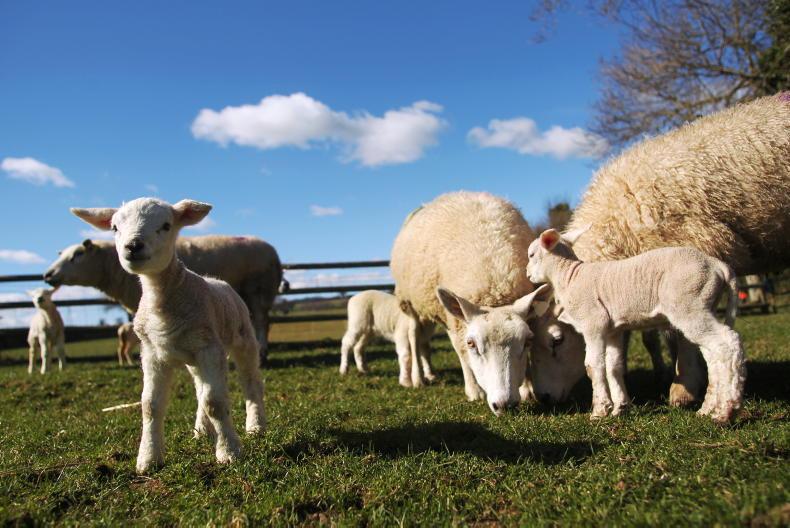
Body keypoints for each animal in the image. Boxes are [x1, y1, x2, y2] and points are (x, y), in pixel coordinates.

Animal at [44, 235, 282, 362]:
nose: (47, 275)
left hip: (259, 289)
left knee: (261, 322)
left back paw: (262, 352)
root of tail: (272, 251)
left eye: (77, 255)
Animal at [71, 198, 266, 474]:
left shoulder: (209, 348)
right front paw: (148, 458)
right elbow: (150, 406)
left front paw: (229, 452)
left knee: (251, 381)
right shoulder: (152, 353)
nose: (133, 246)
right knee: (200, 389)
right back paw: (202, 430)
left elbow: (215, 403)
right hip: (194, 358)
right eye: (115, 227)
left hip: (243, 339)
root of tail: (217, 280)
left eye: (166, 225)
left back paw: (256, 425)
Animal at [390, 191, 579, 415]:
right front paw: (474, 391)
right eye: (472, 343)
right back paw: (417, 378)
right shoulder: (457, 324)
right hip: (409, 301)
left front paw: (526, 389)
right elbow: (461, 352)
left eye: (527, 341)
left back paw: (429, 373)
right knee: (413, 335)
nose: (505, 405)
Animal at [526, 228, 746, 423]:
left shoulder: (593, 323)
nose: (528, 275)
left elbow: (593, 366)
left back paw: (725, 412)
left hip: (689, 303)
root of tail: (718, 265)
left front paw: (599, 410)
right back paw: (708, 408)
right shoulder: (613, 330)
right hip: (704, 303)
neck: (569, 277)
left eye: (531, 254)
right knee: (714, 354)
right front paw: (620, 408)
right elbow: (613, 366)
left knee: (728, 342)